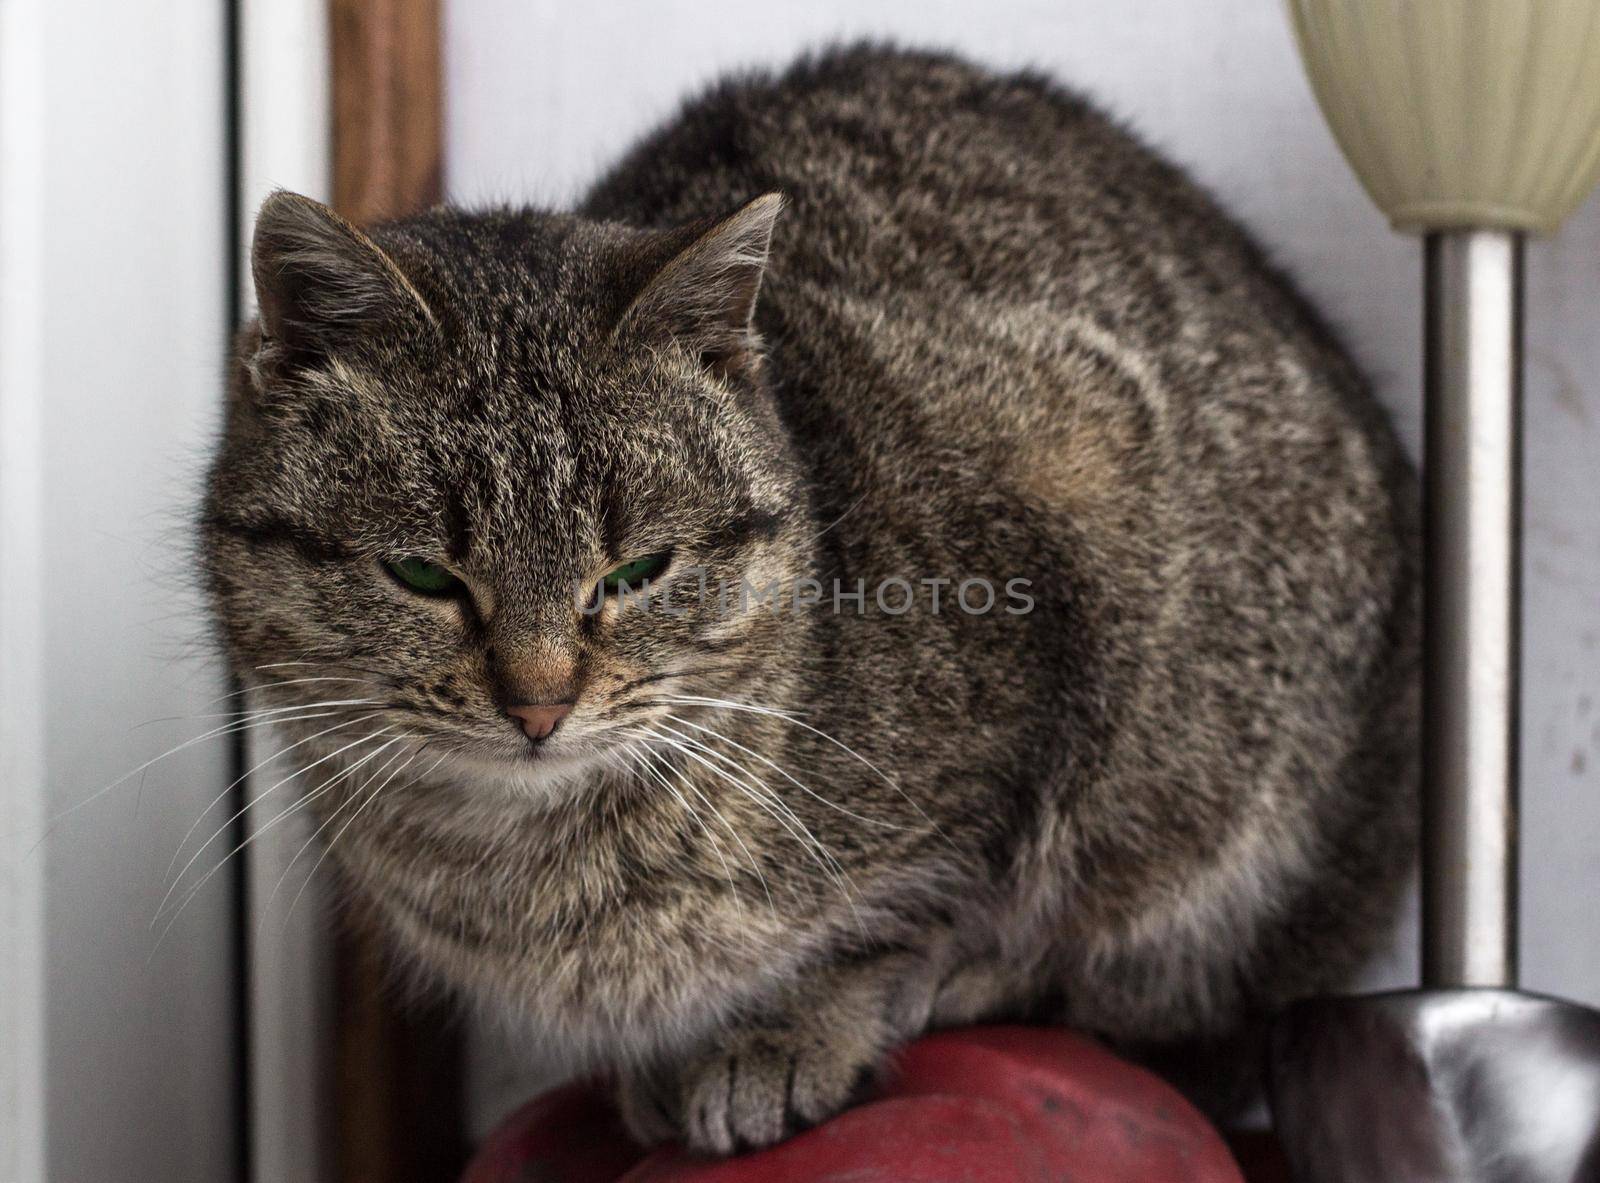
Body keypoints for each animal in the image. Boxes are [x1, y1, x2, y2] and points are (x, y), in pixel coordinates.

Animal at [200, 48, 1414, 1158]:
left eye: (636, 571)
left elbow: (913, 912)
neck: (523, 869)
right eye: (425, 576)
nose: (538, 705)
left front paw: (785, 1034)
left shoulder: (1062, 564)